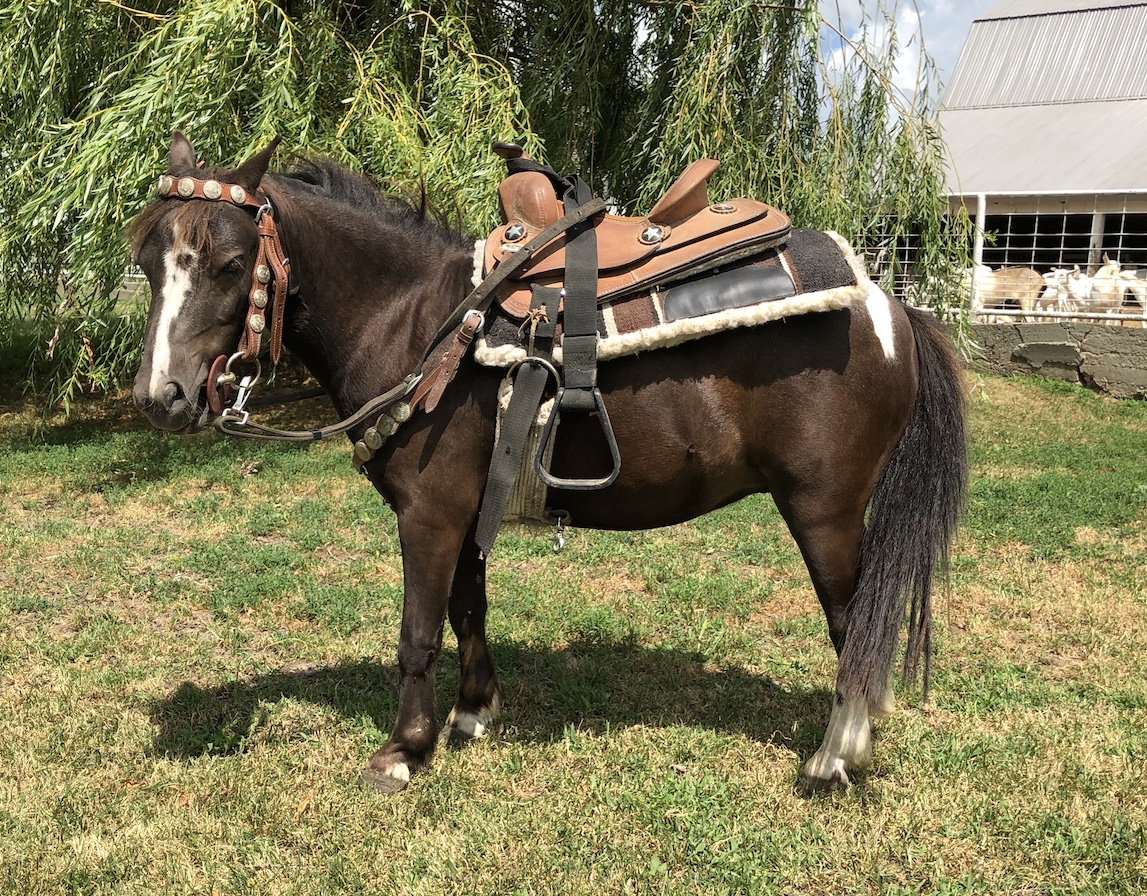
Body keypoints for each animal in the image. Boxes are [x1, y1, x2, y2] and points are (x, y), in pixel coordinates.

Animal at [130, 133, 968, 794]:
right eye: (146, 264)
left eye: (231, 263)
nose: (161, 396)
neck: (417, 320)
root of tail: (888, 304)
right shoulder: (463, 508)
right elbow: (467, 609)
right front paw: (472, 714)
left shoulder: (427, 514)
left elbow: (416, 632)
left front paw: (402, 751)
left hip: (823, 509)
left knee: (852, 626)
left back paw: (833, 759)